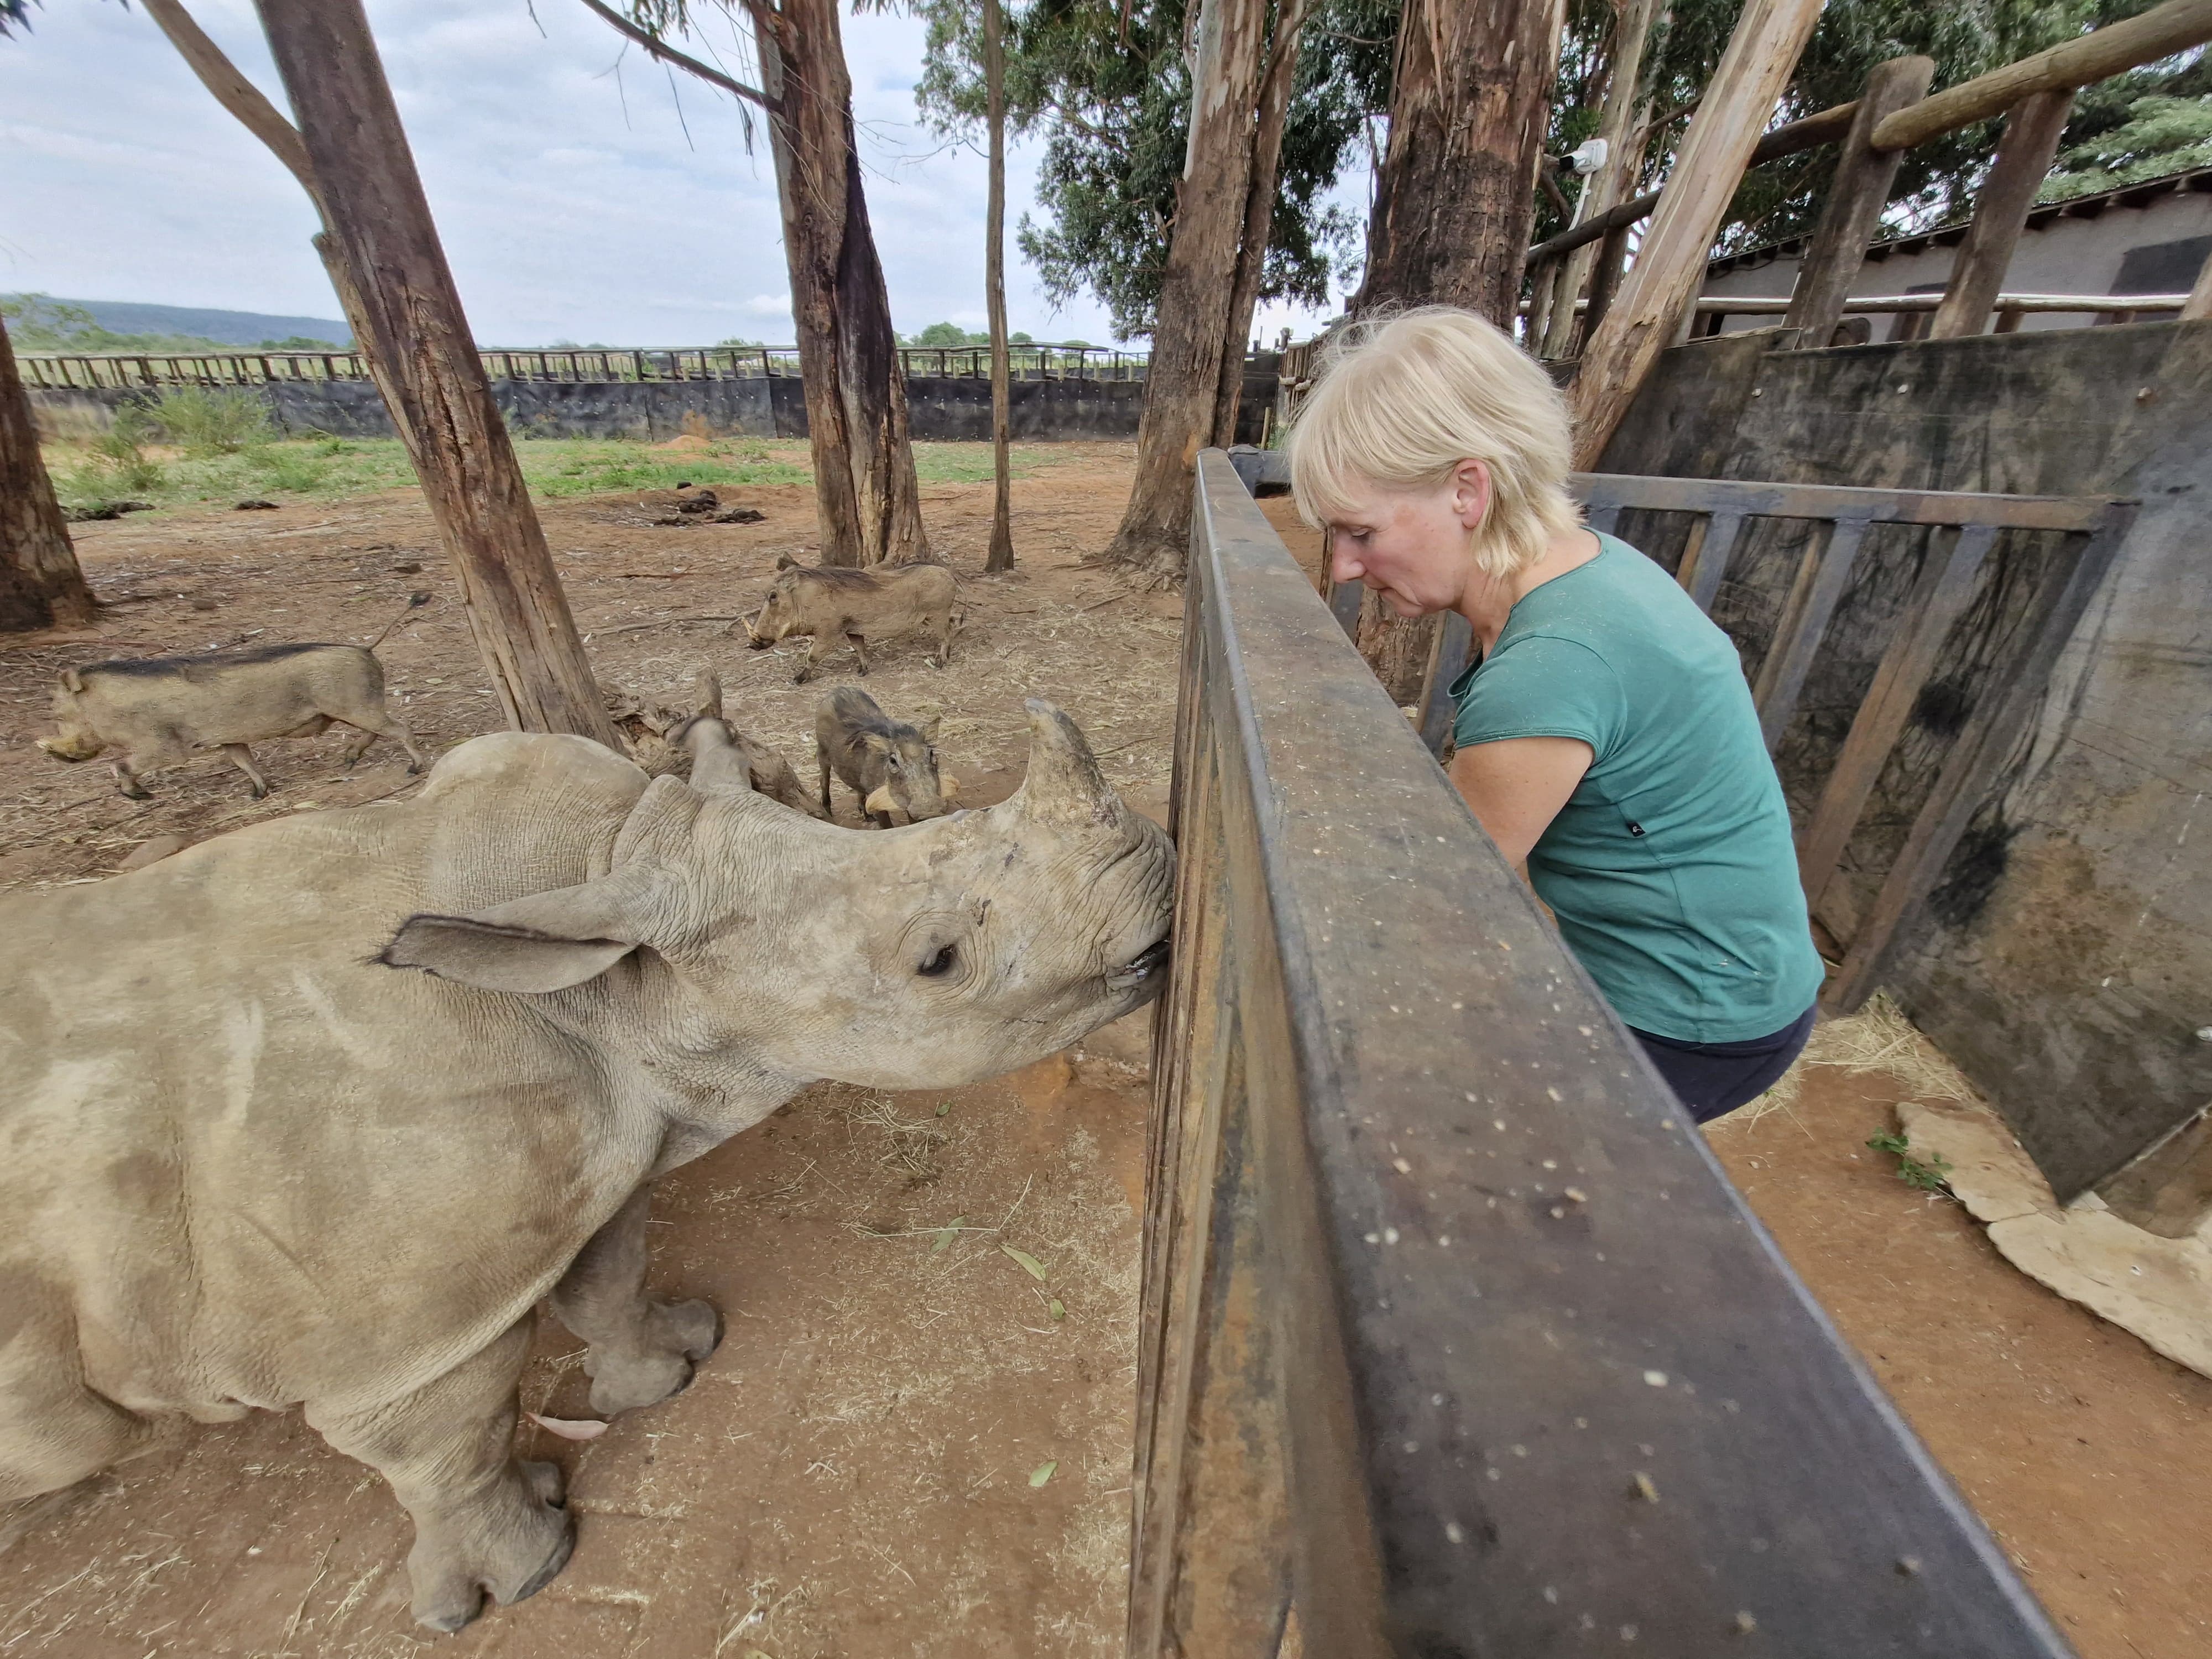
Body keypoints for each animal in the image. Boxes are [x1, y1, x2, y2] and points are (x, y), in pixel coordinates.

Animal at [0, 700, 1173, 1632]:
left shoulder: (597, 1140)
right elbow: (446, 1445)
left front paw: (673, 1369)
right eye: (936, 961)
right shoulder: (396, 1335)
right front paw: (514, 1583)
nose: (1167, 902)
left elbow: (607, 1273)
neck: (614, 975)